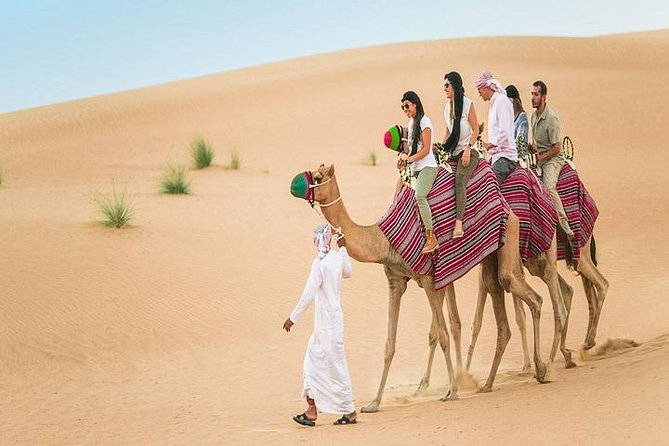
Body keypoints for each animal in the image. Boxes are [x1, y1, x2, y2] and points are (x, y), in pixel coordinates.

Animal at [301, 163, 549, 413]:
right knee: (500, 297)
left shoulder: (430, 281)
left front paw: (452, 391)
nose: (297, 186)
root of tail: (506, 204)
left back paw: (541, 368)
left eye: (318, 177)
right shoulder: (396, 282)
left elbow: (443, 335)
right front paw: (374, 403)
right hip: (489, 256)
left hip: (508, 239)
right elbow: (390, 345)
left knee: (527, 293)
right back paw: (491, 382)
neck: (383, 240)